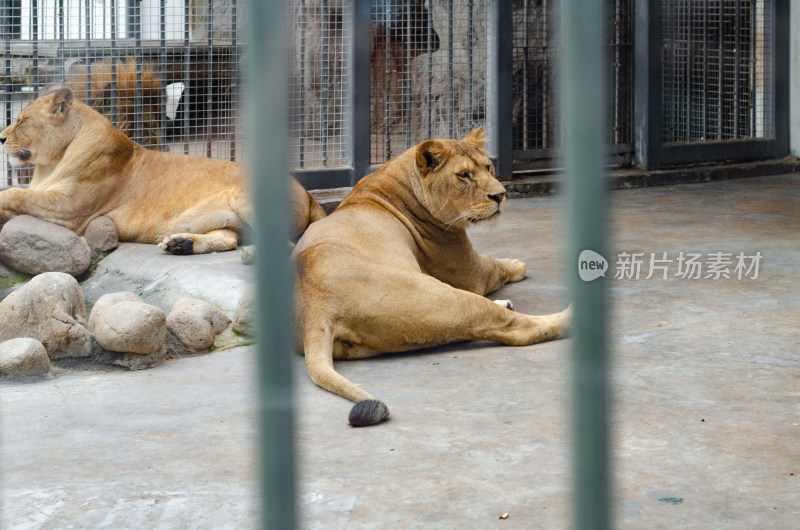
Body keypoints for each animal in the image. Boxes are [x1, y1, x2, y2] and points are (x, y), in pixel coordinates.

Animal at [0, 85, 324, 254]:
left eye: (22, 120)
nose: (1, 138)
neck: (49, 164)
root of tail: (310, 195)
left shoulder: (72, 208)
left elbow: (16, 194)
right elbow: (20, 195)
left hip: (248, 199)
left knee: (285, 245)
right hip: (228, 220)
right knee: (228, 238)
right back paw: (181, 243)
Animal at [292, 127, 568, 424]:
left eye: (488, 167)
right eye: (464, 175)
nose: (501, 195)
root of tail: (315, 309)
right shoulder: (470, 272)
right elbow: (497, 267)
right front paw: (518, 264)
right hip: (440, 298)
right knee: (513, 328)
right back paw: (568, 317)